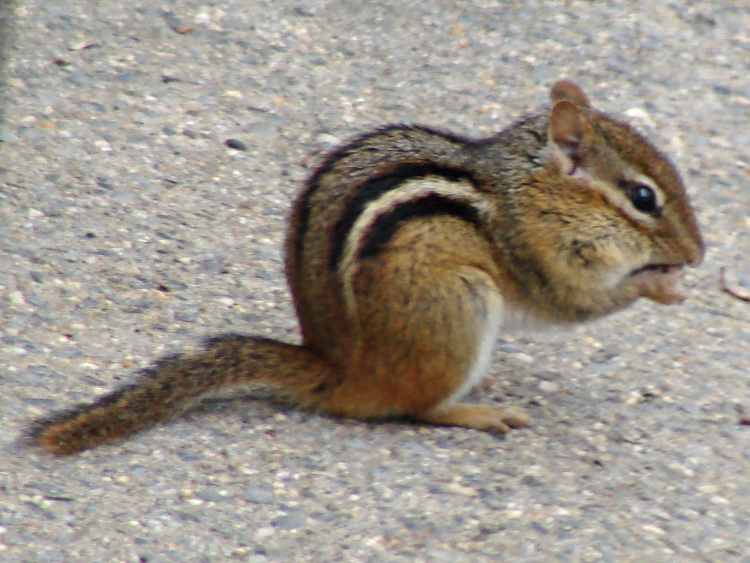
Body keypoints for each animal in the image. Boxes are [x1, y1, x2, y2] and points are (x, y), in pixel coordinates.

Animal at [30, 80, 704, 455]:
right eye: (643, 197)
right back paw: (476, 410)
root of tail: (340, 370)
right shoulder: (536, 256)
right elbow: (576, 303)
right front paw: (662, 285)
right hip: (461, 303)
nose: (699, 254)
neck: (527, 190)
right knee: (418, 409)